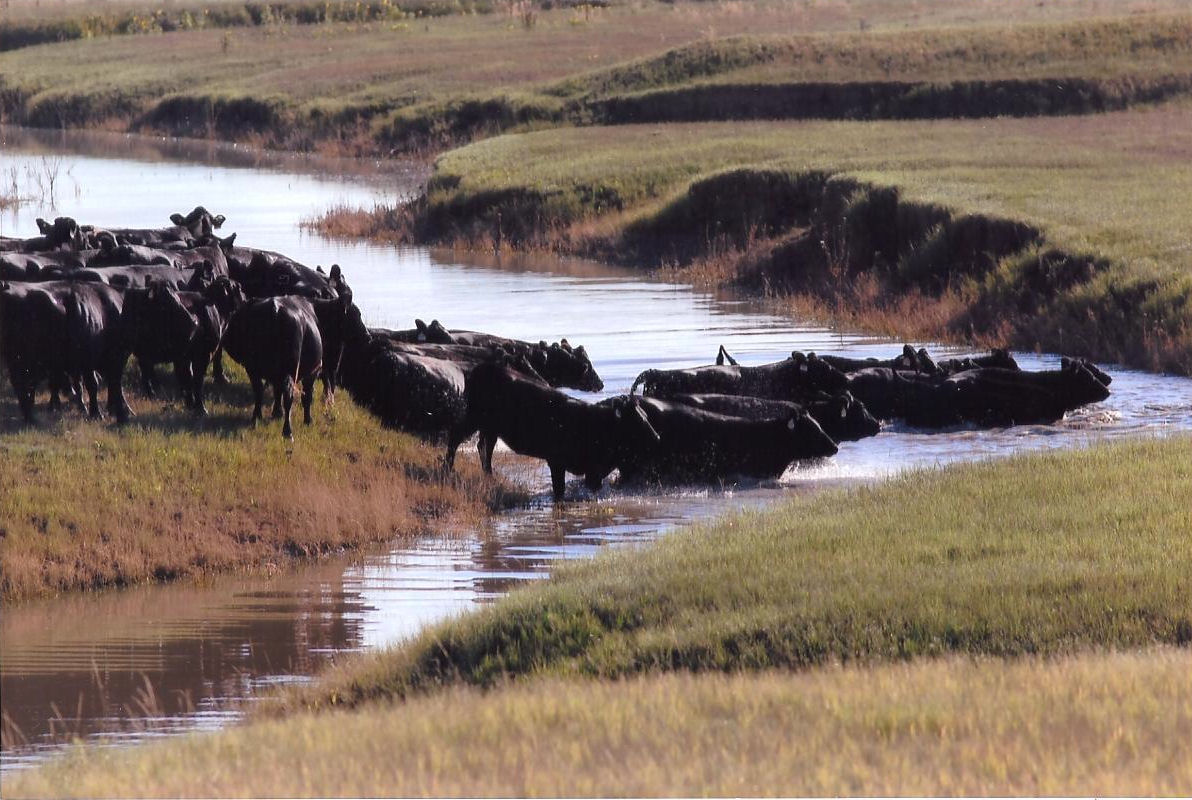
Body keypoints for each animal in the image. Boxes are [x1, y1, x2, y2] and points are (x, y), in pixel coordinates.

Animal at [455, 360, 662, 498]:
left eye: (645, 415)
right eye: (635, 419)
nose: (656, 437)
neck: (594, 423)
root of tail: (484, 367)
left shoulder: (593, 472)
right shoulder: (557, 462)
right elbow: (559, 491)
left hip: (490, 429)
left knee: (484, 448)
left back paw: (490, 476)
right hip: (471, 419)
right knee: (455, 442)